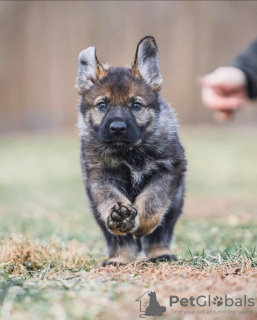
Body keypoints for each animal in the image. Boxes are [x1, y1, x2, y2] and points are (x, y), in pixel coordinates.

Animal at [75, 35, 185, 264]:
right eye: (102, 105)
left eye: (136, 105)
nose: (117, 128)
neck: (129, 151)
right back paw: (119, 258)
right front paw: (121, 218)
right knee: (118, 239)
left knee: (160, 232)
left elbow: (153, 201)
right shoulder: (100, 177)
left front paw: (141, 225)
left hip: (176, 202)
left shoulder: (169, 169)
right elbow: (110, 198)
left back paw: (160, 253)